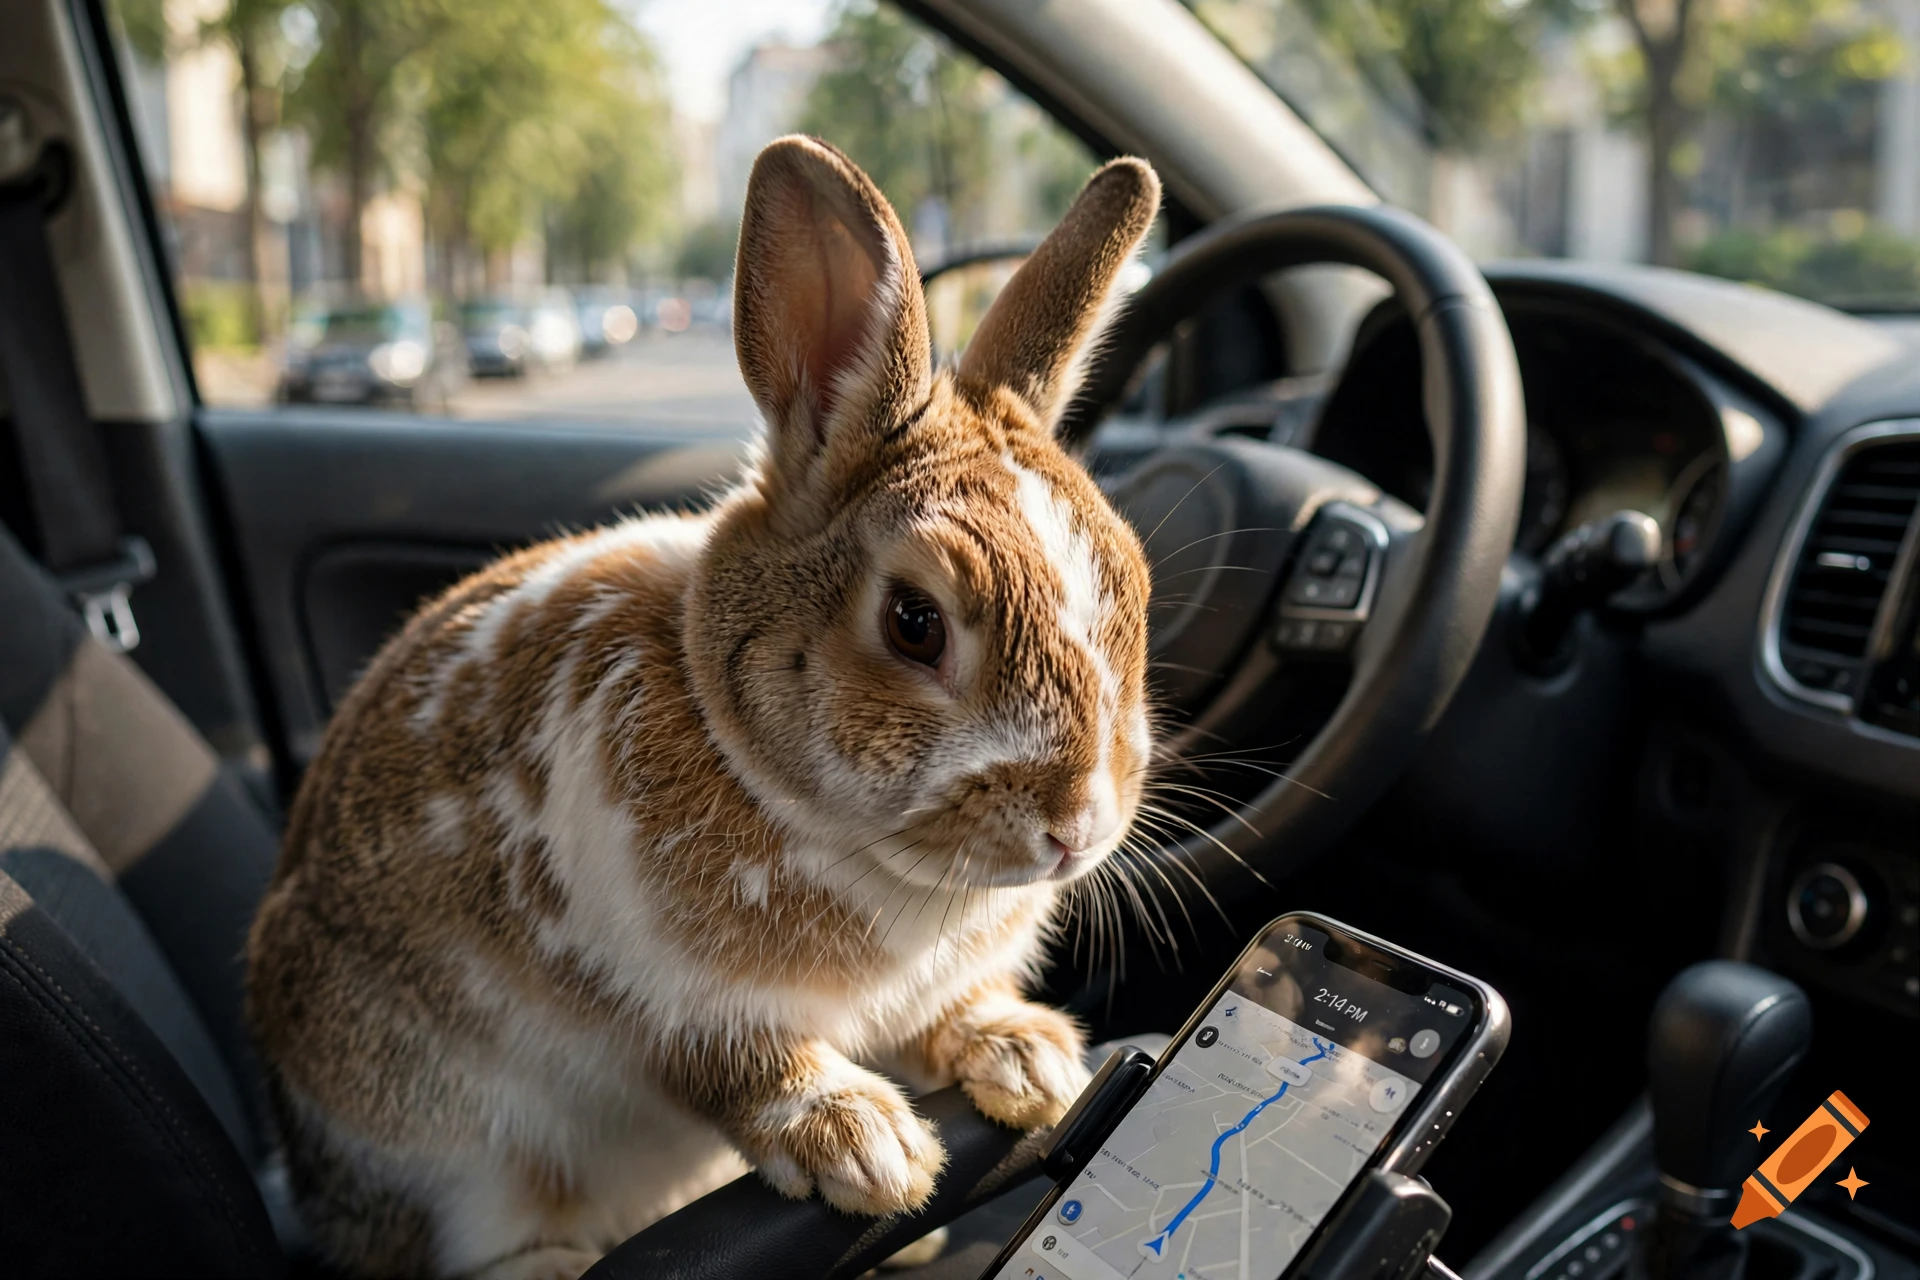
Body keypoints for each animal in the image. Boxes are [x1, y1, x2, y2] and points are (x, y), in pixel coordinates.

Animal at [246, 135, 1161, 1280]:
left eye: (1137, 583)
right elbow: (741, 1068)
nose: (1075, 827)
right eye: (914, 622)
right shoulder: (665, 999)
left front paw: (1029, 1061)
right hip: (432, 1137)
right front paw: (868, 1148)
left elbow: (949, 1014)